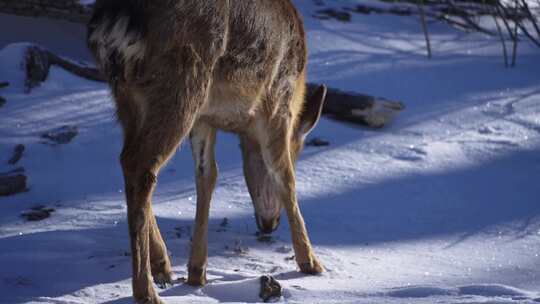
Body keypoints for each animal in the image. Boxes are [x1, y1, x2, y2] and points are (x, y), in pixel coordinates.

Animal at [86, 1, 326, 302]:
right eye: (297, 153)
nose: (270, 224)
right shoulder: (277, 101)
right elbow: (285, 178)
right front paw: (311, 261)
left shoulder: (205, 118)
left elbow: (207, 175)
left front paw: (197, 271)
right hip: (182, 84)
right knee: (140, 166)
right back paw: (146, 290)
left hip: (128, 96)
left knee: (127, 160)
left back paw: (161, 264)